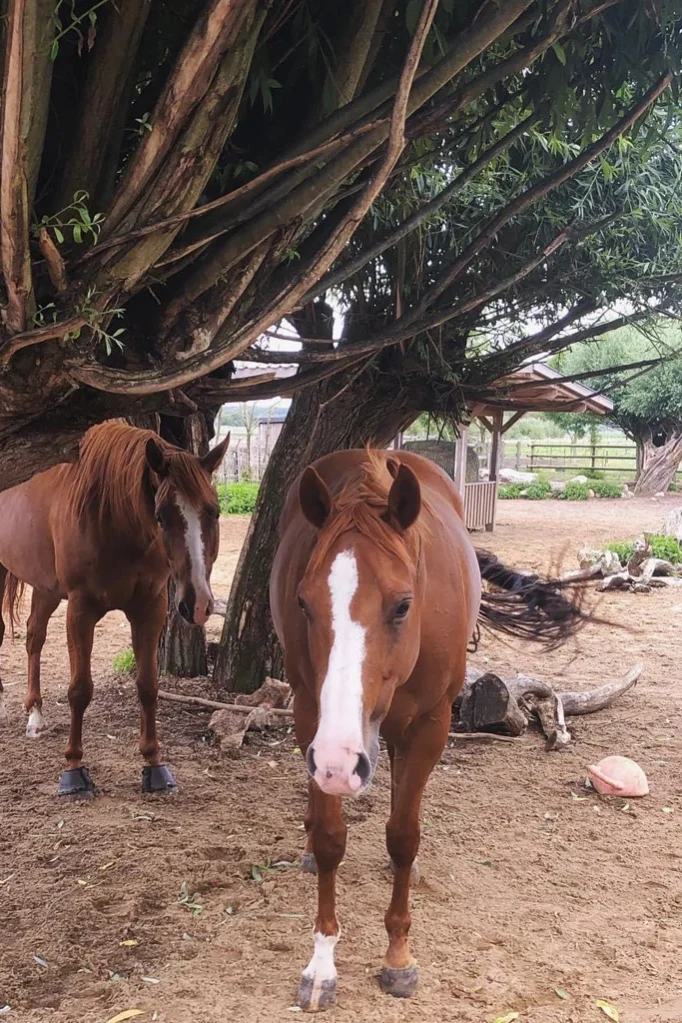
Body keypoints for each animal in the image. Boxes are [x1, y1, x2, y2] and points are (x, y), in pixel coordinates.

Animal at [0, 420, 229, 796]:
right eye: (161, 516)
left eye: (214, 511)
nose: (196, 603)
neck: (111, 517)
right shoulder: (81, 609)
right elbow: (80, 690)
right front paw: (74, 769)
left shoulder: (151, 608)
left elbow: (148, 685)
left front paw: (154, 763)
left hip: (46, 587)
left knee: (34, 637)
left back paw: (34, 714)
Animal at [270, 447, 587, 1010]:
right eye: (304, 603)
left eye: (402, 604)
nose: (339, 762)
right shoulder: (311, 716)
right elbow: (331, 837)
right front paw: (322, 964)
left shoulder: (432, 724)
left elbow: (403, 835)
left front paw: (398, 957)